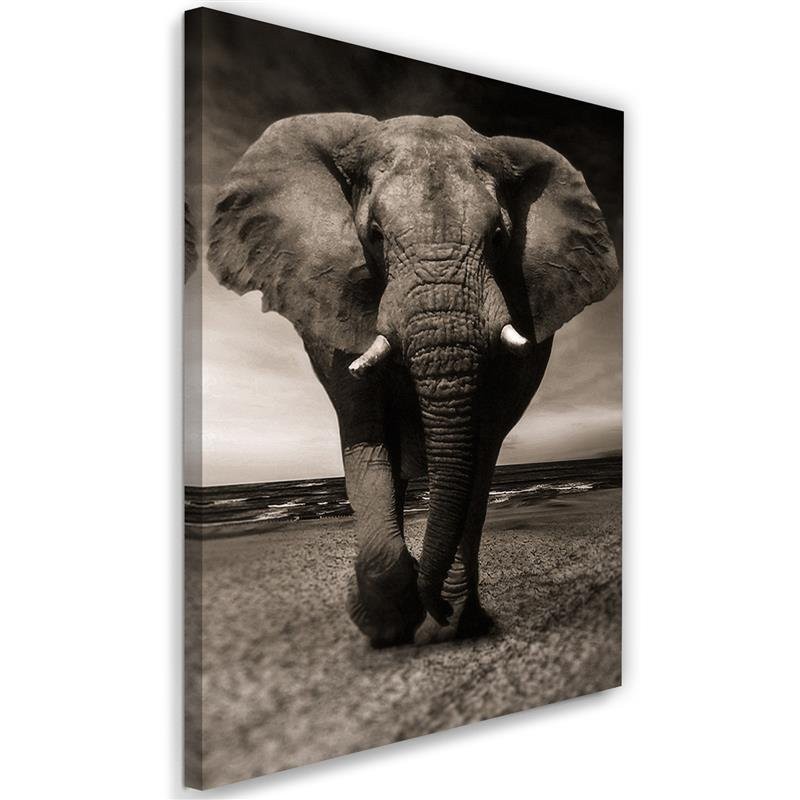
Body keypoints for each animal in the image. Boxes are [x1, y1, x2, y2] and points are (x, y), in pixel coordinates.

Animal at [207, 113, 619, 647]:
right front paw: (384, 625)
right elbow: (366, 436)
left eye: (500, 238)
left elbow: (478, 451)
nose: (436, 608)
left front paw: (441, 616)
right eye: (375, 235)